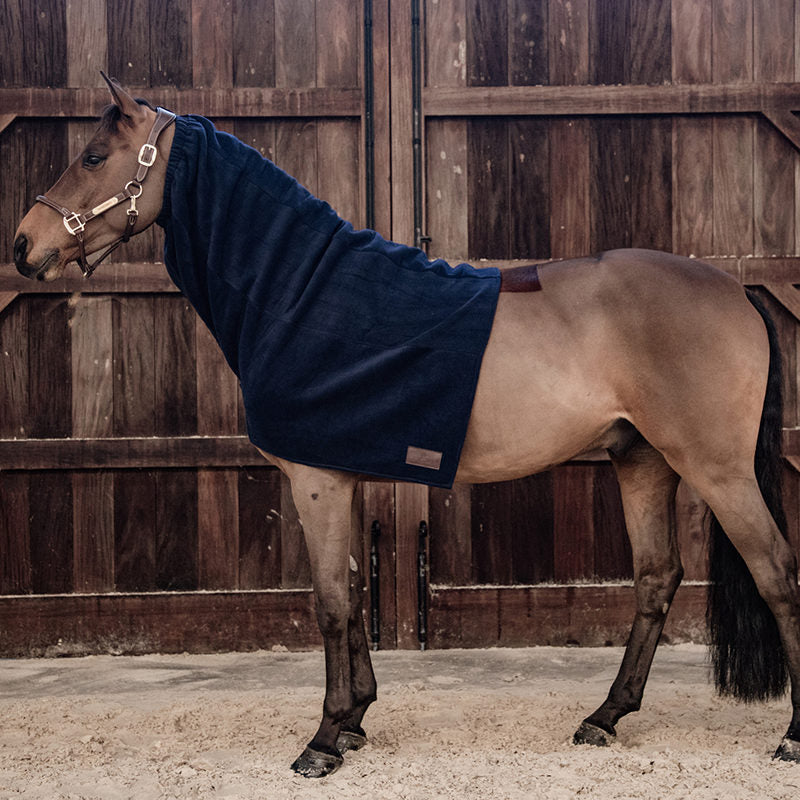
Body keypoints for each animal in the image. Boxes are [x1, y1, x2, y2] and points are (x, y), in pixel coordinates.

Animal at [12, 75, 800, 778]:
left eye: (92, 156)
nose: (24, 244)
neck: (304, 293)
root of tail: (737, 289)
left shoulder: (318, 482)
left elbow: (331, 605)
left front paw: (324, 740)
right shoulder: (344, 477)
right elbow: (355, 593)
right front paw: (356, 719)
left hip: (716, 469)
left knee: (777, 574)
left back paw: (789, 737)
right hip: (643, 461)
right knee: (656, 579)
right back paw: (604, 718)